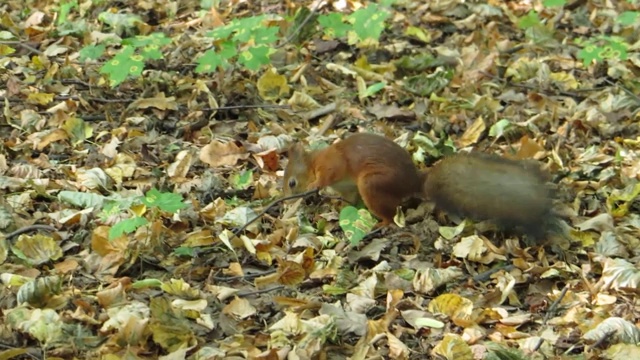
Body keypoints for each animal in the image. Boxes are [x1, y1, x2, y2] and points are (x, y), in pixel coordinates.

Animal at [282, 132, 422, 228]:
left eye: (292, 183)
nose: (287, 202)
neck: (313, 162)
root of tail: (414, 183)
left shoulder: (330, 163)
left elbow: (326, 175)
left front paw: (314, 184)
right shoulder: (347, 189)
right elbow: (349, 201)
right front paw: (339, 208)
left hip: (372, 184)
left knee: (391, 215)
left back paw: (382, 224)